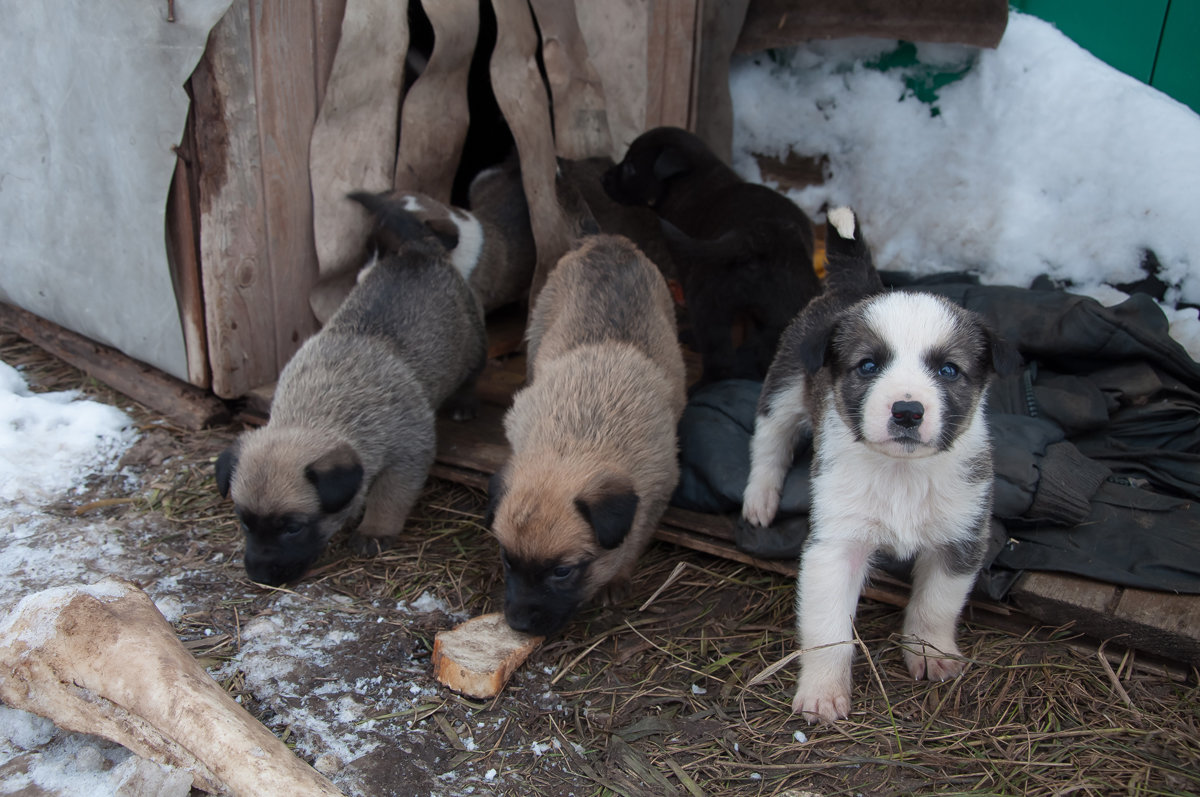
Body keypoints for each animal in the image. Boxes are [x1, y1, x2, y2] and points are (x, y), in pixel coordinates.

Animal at [216, 193, 482, 585]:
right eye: (245, 523)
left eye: (292, 528)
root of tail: (417, 250)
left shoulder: (407, 456)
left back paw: (465, 403)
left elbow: (389, 498)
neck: (325, 402)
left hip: (473, 342)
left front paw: (374, 531)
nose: (260, 574)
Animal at [487, 234, 686, 638]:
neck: (575, 439)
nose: (518, 624)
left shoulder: (656, 492)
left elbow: (633, 541)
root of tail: (607, 239)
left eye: (562, 572)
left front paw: (616, 580)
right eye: (506, 560)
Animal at [604, 125, 820, 386]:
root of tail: (760, 235)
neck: (693, 178)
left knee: (719, 357)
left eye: (630, 167)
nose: (604, 178)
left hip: (708, 298)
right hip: (785, 312)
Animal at [744, 205, 1017, 720]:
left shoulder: (961, 538)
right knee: (769, 442)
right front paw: (823, 690)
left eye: (948, 369)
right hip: (785, 386)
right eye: (868, 365)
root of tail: (859, 285)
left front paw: (931, 653)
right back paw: (760, 497)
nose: (907, 411)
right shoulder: (835, 545)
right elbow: (828, 629)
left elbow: (936, 605)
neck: (902, 474)